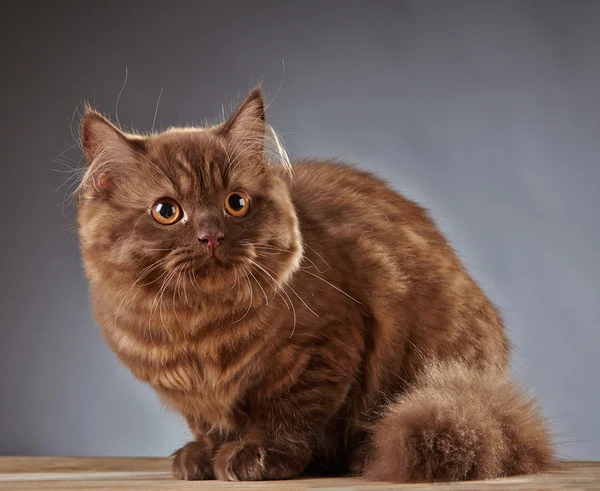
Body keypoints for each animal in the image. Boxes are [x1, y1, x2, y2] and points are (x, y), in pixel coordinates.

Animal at [77, 86, 556, 482]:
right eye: (167, 211)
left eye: (236, 203)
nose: (211, 235)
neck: (199, 326)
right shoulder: (193, 396)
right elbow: (210, 424)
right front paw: (203, 456)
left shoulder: (325, 348)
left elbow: (288, 414)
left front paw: (256, 455)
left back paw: (363, 457)